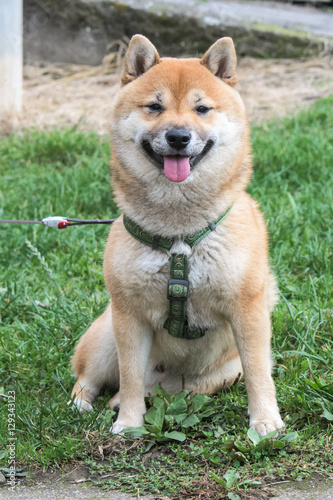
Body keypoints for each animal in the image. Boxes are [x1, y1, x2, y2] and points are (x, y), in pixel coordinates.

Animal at [70, 33, 282, 436]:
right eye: (155, 106)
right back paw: (84, 403)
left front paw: (266, 421)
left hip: (221, 372)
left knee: (187, 388)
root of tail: (168, 380)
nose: (179, 136)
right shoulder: (129, 316)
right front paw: (129, 423)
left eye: (202, 109)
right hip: (106, 334)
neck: (180, 238)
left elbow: (260, 373)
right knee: (94, 377)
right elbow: (129, 375)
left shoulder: (247, 312)